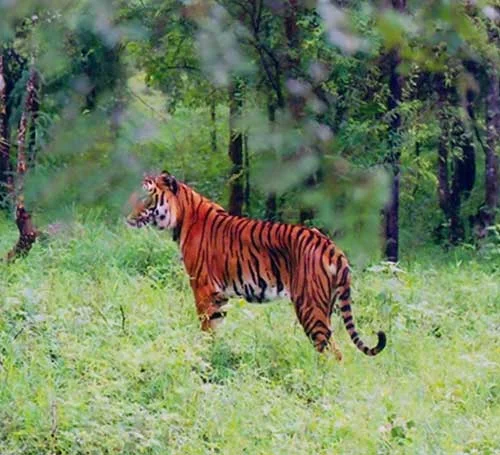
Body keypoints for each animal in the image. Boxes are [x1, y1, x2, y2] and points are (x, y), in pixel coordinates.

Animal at [127, 171, 384, 360]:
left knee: (331, 351)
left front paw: (203, 354)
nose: (127, 217)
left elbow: (206, 327)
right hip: (325, 305)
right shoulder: (219, 295)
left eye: (147, 197)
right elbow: (216, 327)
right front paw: (216, 354)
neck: (182, 216)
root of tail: (331, 246)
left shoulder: (202, 287)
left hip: (310, 306)